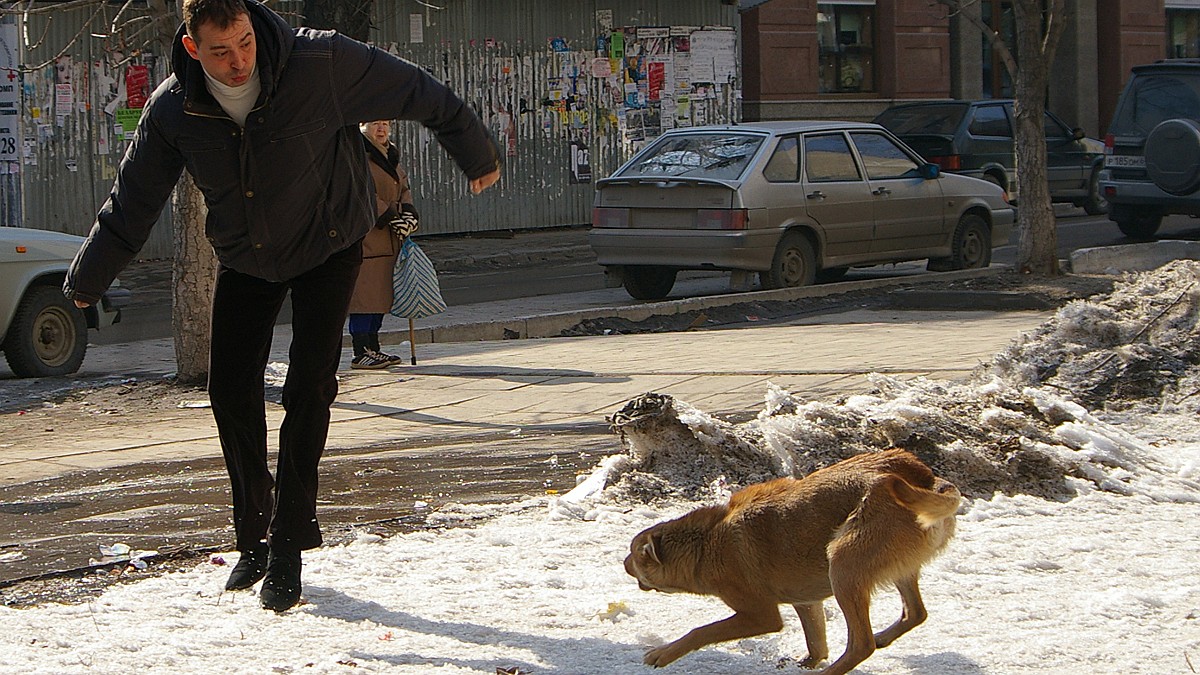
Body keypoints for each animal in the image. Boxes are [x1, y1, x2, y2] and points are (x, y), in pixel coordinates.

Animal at [624, 446, 960, 672]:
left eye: (634, 555)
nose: (624, 565)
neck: (706, 544)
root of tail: (925, 479)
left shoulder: (759, 614)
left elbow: (702, 631)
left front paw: (663, 654)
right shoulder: (806, 602)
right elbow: (816, 642)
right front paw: (807, 661)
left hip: (843, 565)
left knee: (861, 645)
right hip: (894, 569)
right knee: (914, 613)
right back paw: (882, 637)